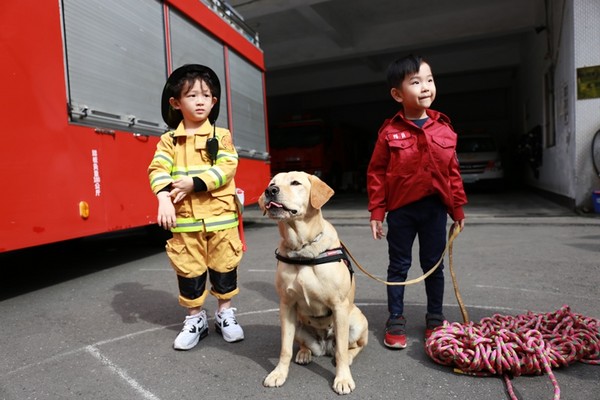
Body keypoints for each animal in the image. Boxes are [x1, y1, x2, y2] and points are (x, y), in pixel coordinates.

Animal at [258, 171, 368, 394]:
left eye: (295, 183)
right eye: (272, 183)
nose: (270, 191)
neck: (302, 249)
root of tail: (325, 346)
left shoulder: (339, 306)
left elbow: (342, 350)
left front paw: (343, 379)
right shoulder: (286, 305)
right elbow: (285, 349)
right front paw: (279, 373)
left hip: (358, 321)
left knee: (352, 347)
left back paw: (347, 357)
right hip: (299, 326)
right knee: (302, 344)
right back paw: (304, 353)